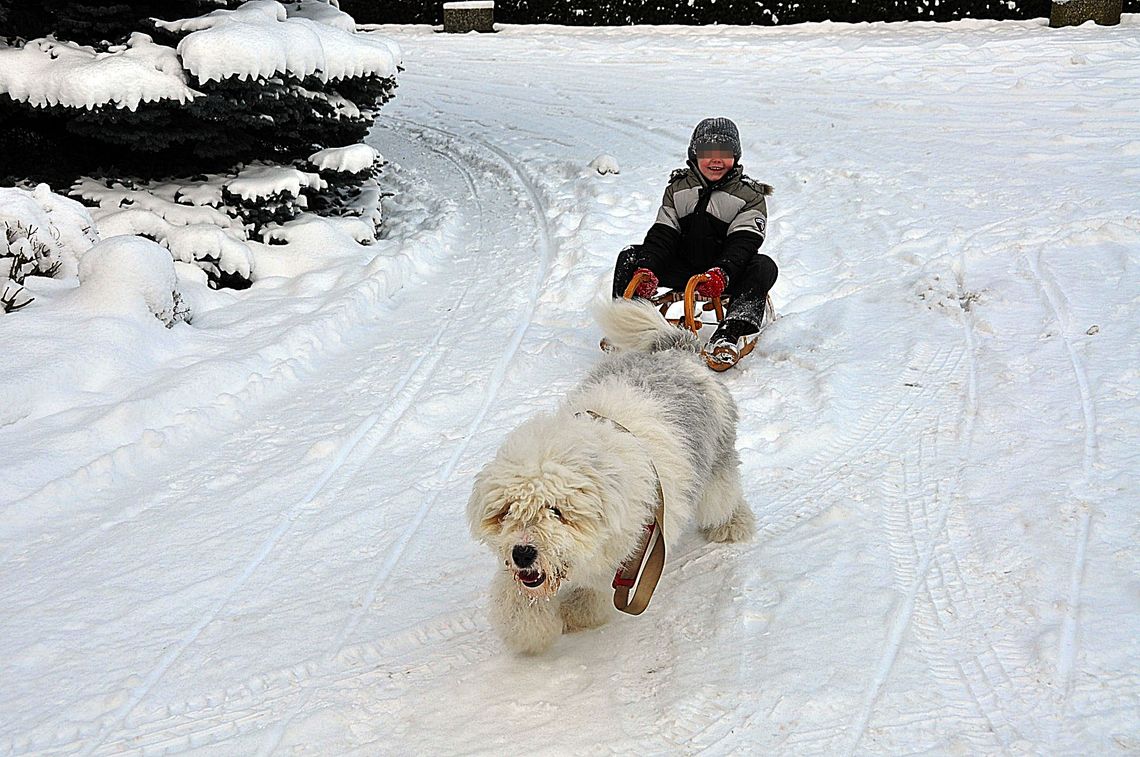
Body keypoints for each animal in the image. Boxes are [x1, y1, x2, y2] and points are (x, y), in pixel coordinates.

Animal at [467, 298, 752, 652]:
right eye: (507, 512)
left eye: (556, 511)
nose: (522, 553)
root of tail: (677, 351)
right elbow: (516, 601)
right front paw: (530, 630)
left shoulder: (631, 550)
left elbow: (592, 591)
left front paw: (577, 614)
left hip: (715, 468)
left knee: (723, 500)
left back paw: (733, 526)